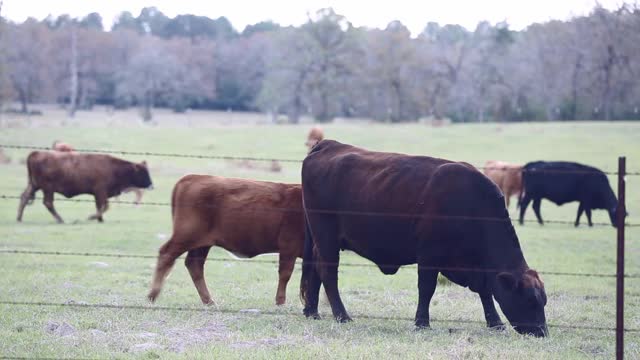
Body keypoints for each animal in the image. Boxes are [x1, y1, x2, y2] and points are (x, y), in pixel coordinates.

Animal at [17, 150, 152, 224]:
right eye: (143, 172)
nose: (151, 185)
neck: (114, 168)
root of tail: (35, 153)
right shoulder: (100, 192)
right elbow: (104, 206)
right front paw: (91, 217)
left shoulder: (99, 194)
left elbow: (101, 206)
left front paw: (100, 219)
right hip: (47, 188)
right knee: (48, 202)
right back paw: (60, 220)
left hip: (34, 185)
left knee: (24, 197)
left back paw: (19, 219)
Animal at [149, 176, 304, 306]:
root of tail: (192, 177)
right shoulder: (289, 245)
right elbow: (285, 273)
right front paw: (280, 302)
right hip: (186, 235)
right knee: (167, 254)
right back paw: (153, 294)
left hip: (202, 244)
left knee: (194, 264)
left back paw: (209, 301)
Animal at [302, 141, 548, 338]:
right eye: (530, 301)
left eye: (543, 300)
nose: (542, 332)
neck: (470, 205)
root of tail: (328, 145)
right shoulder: (430, 255)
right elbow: (427, 289)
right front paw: (422, 323)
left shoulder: (478, 267)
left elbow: (486, 293)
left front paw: (496, 323)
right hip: (327, 238)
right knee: (328, 272)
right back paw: (341, 315)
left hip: (319, 240)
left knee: (314, 268)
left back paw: (312, 312)